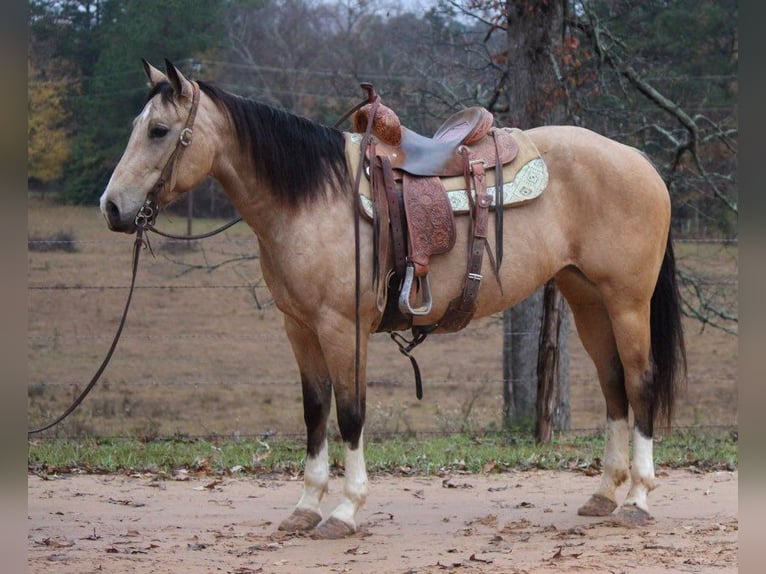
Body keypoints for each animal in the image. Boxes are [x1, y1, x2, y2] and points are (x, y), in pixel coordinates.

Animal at [99, 59, 688, 540]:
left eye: (158, 130)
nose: (112, 208)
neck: (314, 200)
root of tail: (639, 160)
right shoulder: (300, 328)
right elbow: (315, 411)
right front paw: (306, 506)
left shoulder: (342, 328)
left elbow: (351, 413)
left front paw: (344, 510)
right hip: (587, 301)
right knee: (613, 386)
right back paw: (604, 494)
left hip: (627, 302)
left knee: (640, 382)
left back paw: (637, 498)